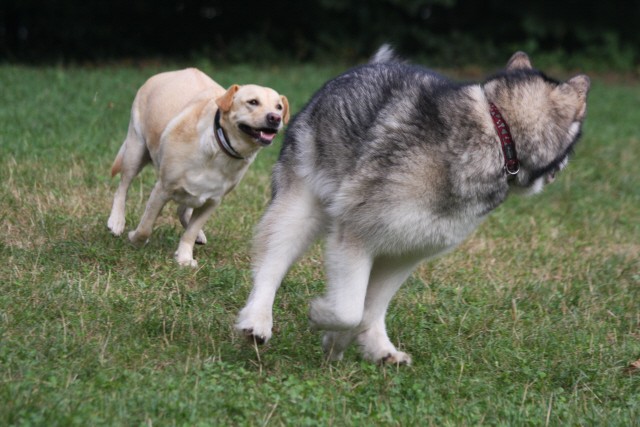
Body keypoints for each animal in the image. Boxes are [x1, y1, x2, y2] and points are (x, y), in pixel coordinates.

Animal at [235, 46, 592, 364]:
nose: (561, 171)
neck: (499, 131)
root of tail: (361, 69)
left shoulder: (406, 252)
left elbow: (365, 312)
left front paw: (341, 341)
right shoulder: (355, 236)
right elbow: (349, 310)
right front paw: (322, 315)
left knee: (372, 308)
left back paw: (381, 349)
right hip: (298, 212)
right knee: (270, 268)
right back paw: (257, 320)